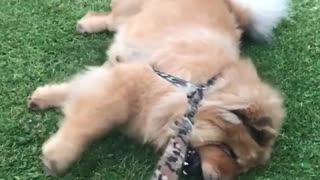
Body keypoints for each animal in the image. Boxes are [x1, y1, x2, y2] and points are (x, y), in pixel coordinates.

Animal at [27, 0, 288, 179]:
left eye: (240, 168)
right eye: (230, 152)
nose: (217, 178)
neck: (199, 89)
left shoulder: (115, 75)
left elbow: (77, 90)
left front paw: (43, 97)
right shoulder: (127, 85)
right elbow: (90, 122)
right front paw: (57, 156)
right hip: (128, 12)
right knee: (109, 17)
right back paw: (88, 24)